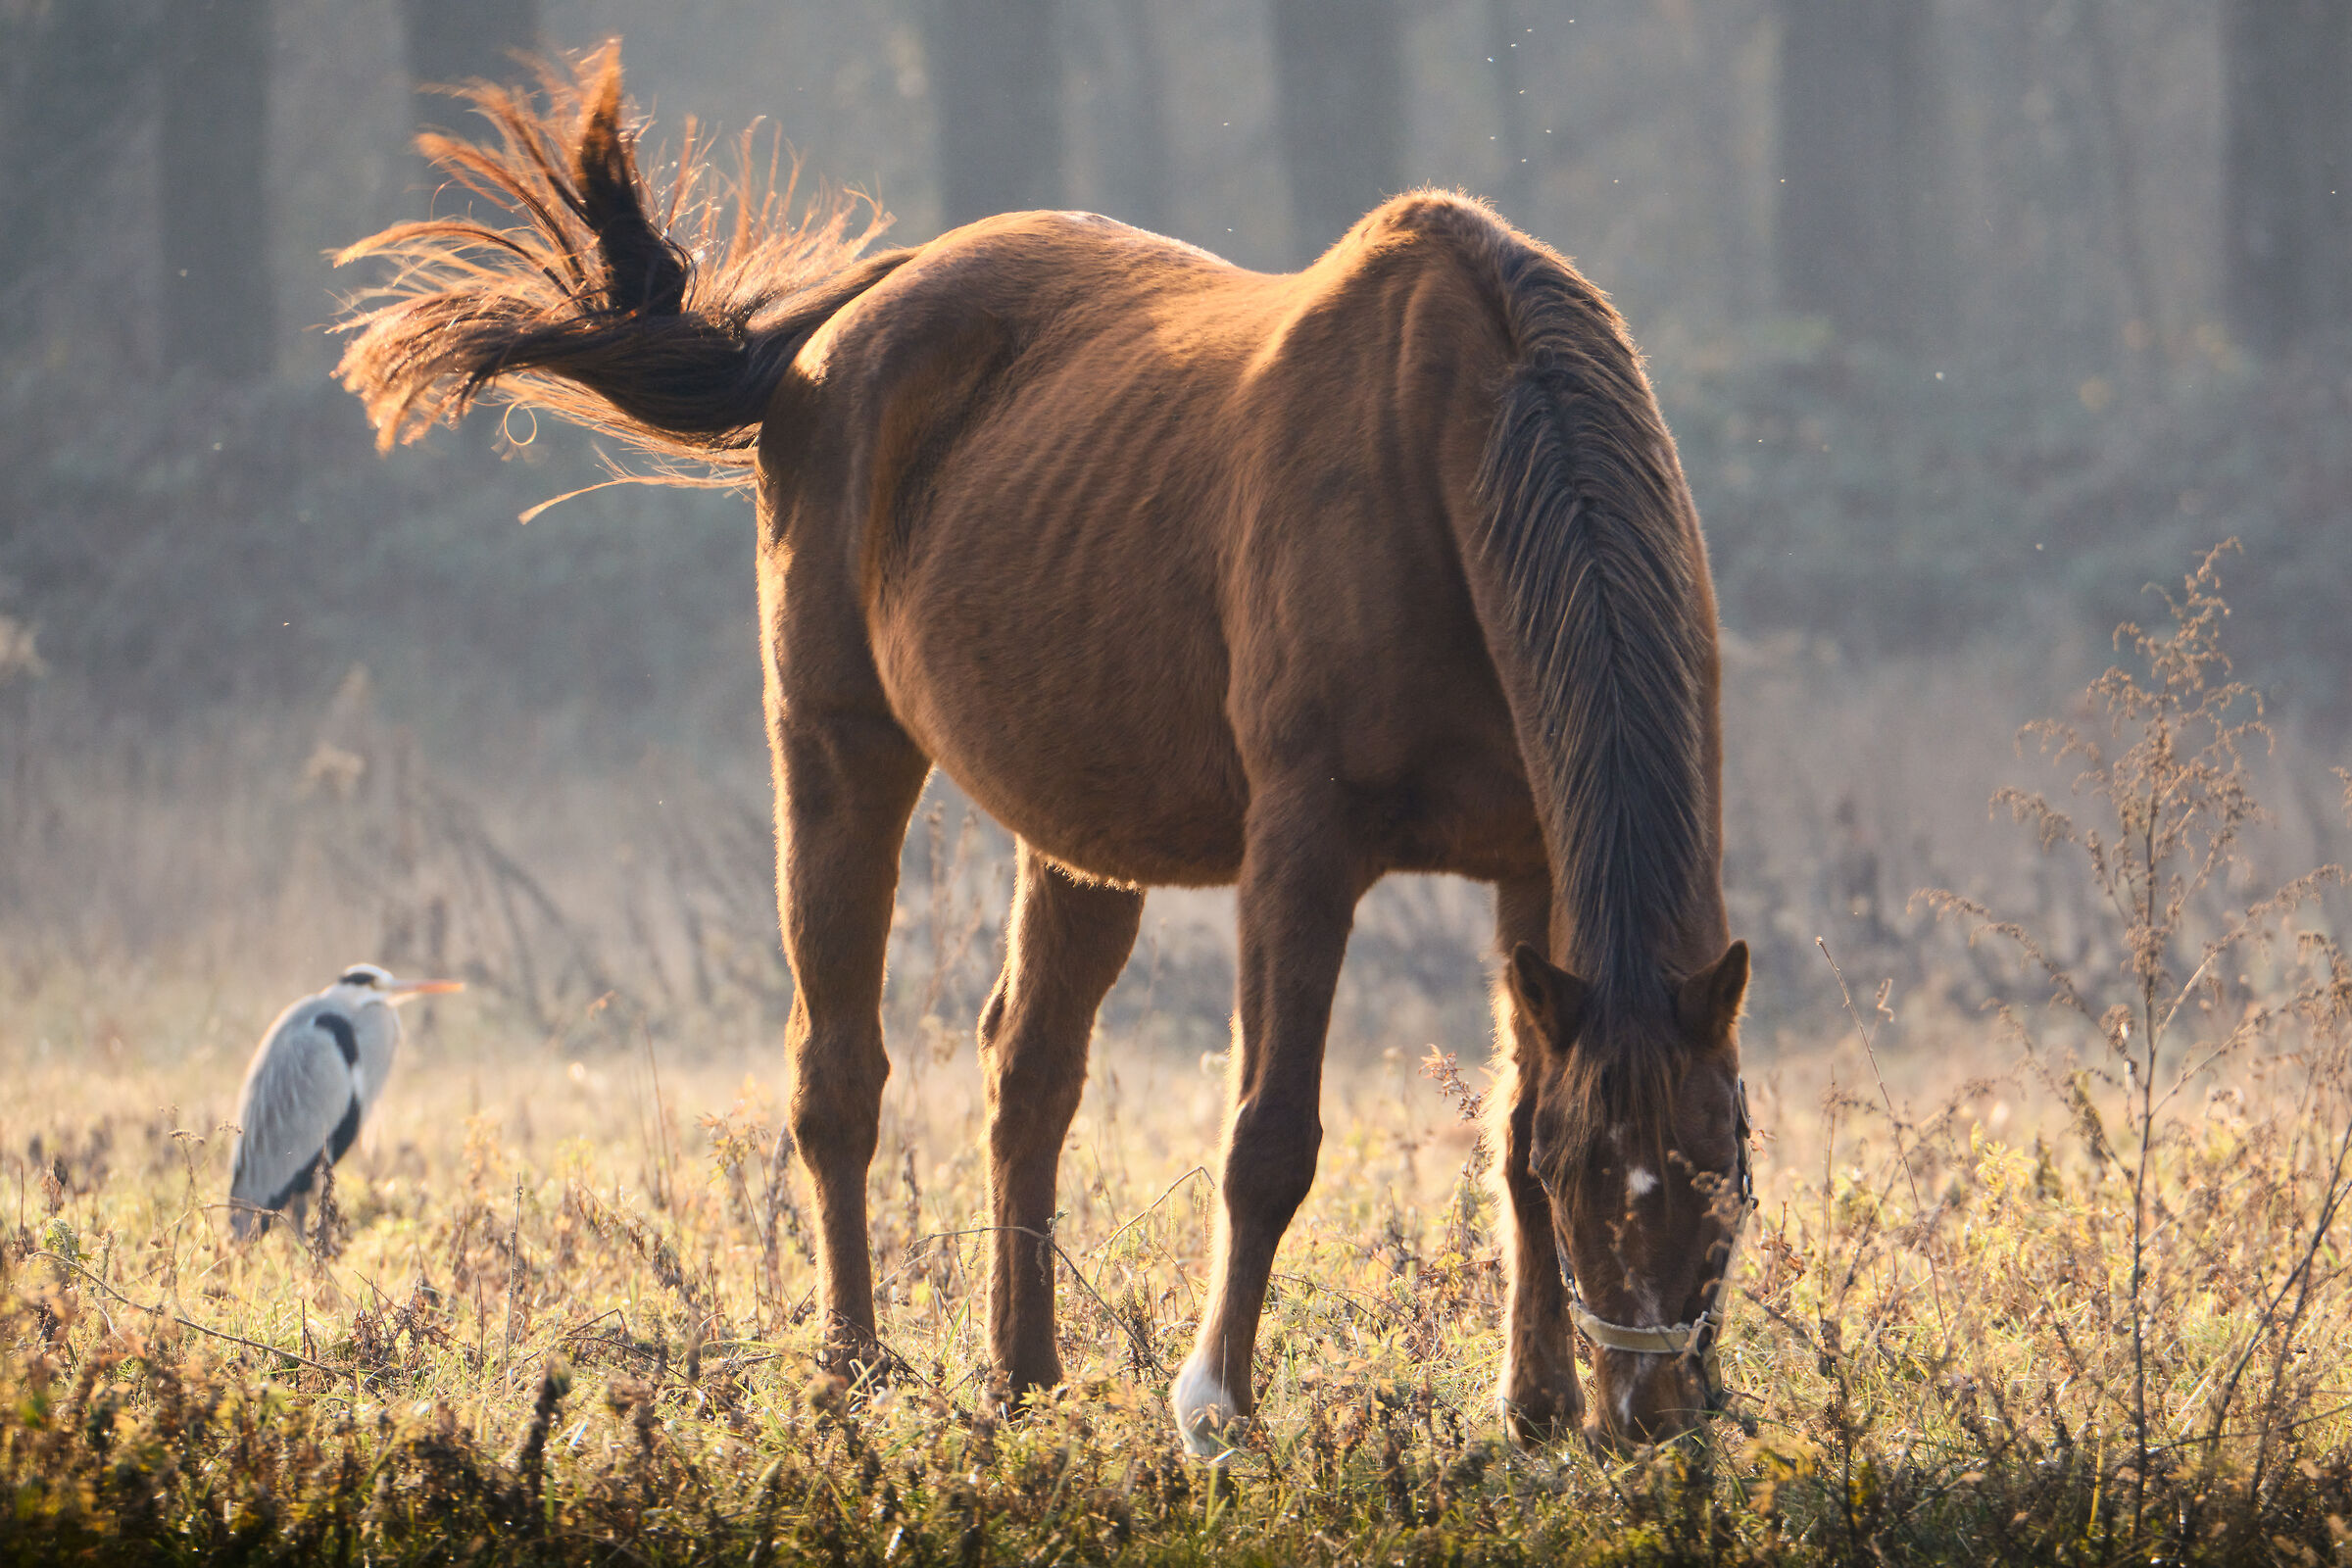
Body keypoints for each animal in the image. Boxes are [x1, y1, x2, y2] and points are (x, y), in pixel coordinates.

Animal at [336, 49, 1754, 1451]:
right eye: (1595, 1176)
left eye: (1722, 1170)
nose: (1649, 1416)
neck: (1445, 454)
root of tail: (852, 313)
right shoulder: (1304, 847)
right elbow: (1271, 1139)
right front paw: (1217, 1407)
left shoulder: (1532, 862)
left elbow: (1506, 1122)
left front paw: (1532, 1407)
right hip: (836, 751)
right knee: (837, 1074)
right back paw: (855, 1368)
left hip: (1079, 828)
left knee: (1028, 1072)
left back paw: (1023, 1373)